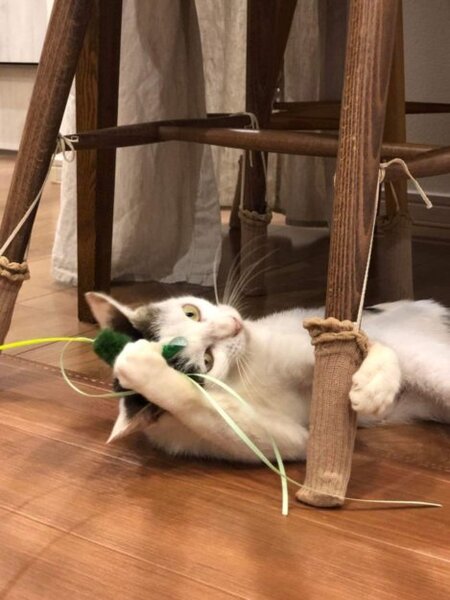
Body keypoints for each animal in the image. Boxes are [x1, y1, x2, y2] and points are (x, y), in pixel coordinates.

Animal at [86, 292, 450, 462]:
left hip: (425, 360)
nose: (233, 325)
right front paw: (141, 369)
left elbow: (361, 342)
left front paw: (374, 386)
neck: (245, 374)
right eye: (207, 360)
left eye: (191, 312)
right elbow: (209, 411)